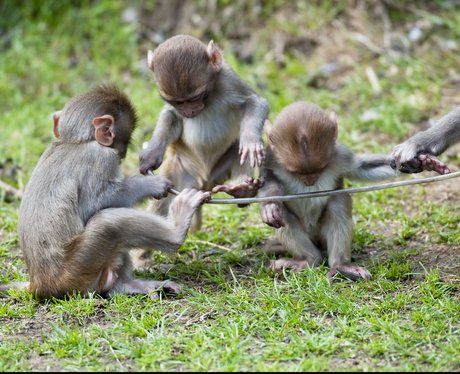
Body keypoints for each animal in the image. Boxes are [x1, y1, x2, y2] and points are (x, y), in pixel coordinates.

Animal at [0, 83, 210, 300]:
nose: (123, 154)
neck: (75, 141)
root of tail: (39, 284)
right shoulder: (100, 157)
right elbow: (95, 203)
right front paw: (152, 184)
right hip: (78, 269)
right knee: (108, 222)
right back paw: (177, 229)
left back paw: (129, 285)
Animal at [133, 35, 268, 268]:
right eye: (178, 101)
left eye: (195, 97)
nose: (189, 111)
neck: (209, 97)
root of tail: (205, 182)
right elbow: (171, 117)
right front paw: (151, 153)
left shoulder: (228, 78)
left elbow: (255, 102)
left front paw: (250, 140)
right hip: (182, 173)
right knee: (163, 198)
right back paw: (142, 258)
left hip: (219, 173)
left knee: (238, 151)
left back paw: (242, 189)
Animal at [258, 101, 398, 280]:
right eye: (297, 172)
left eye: (319, 169)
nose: (310, 181)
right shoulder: (270, 158)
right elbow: (268, 179)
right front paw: (270, 205)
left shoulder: (340, 155)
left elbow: (361, 168)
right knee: (284, 215)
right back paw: (310, 259)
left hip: (321, 235)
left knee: (338, 201)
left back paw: (340, 265)